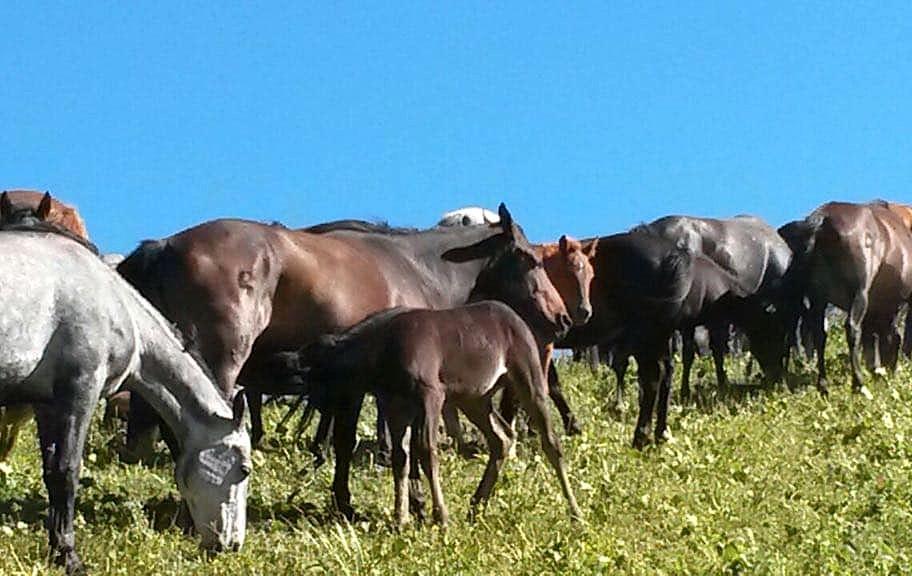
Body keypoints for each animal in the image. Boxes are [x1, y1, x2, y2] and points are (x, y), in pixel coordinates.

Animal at [0, 225, 249, 572]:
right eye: (244, 469)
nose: (232, 544)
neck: (112, 301)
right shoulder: (80, 392)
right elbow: (67, 471)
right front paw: (69, 556)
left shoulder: (46, 404)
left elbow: (50, 472)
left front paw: (56, 549)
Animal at [292, 300, 580, 528]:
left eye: (321, 381)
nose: (319, 410)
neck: (386, 346)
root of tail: (514, 317)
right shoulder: (396, 407)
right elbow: (401, 457)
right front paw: (401, 519)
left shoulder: (431, 396)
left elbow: (425, 450)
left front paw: (440, 516)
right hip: (474, 400)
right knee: (503, 439)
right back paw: (476, 507)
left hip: (528, 382)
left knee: (550, 442)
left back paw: (575, 511)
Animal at [776, 202, 912, 396]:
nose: (890, 375)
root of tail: (821, 221)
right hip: (858, 292)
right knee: (851, 328)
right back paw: (859, 384)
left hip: (817, 296)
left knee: (818, 334)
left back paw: (822, 385)